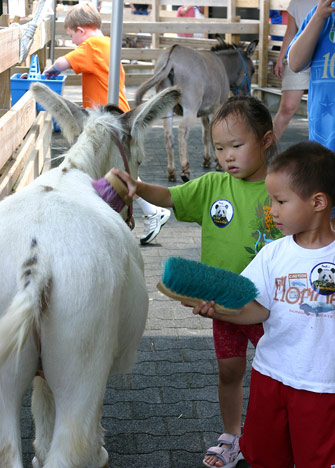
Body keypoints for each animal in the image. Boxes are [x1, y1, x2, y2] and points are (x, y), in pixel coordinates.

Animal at [0, 84, 181, 468]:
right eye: (139, 160)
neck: (73, 170)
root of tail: (37, 260)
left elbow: (41, 411)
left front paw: (38, 450)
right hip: (83, 356)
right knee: (72, 445)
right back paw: (95, 454)